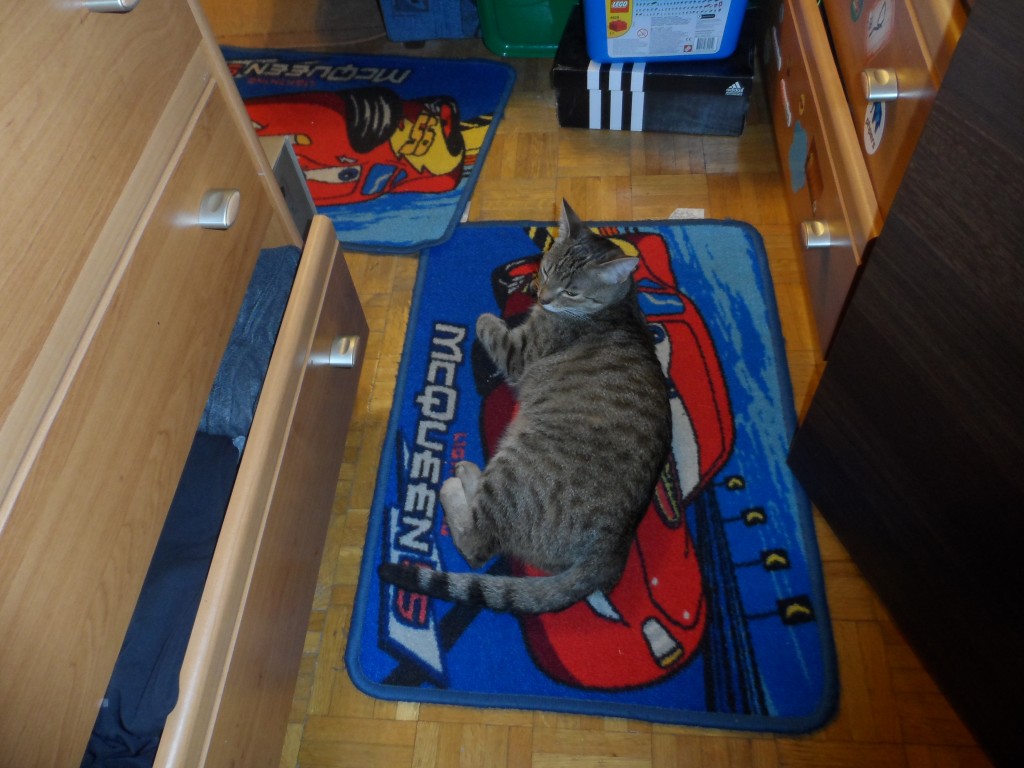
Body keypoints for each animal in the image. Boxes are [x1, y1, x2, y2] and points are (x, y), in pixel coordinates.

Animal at [378, 201, 672, 613]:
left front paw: (490, 317)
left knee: (478, 543)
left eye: (571, 291)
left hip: (516, 467)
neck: (617, 305)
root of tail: (610, 552)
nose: (542, 297)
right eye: (545, 270)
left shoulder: (519, 352)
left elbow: (492, 328)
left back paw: (455, 483)